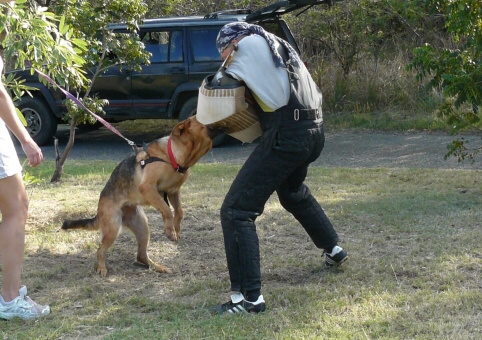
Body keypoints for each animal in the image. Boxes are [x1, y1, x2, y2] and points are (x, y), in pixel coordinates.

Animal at [62, 116, 217, 276]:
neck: (172, 155)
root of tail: (98, 212)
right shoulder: (149, 188)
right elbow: (167, 210)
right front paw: (170, 231)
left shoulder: (173, 191)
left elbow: (179, 212)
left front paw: (176, 228)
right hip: (113, 228)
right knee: (100, 249)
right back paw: (101, 267)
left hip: (143, 227)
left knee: (141, 256)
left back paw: (157, 267)